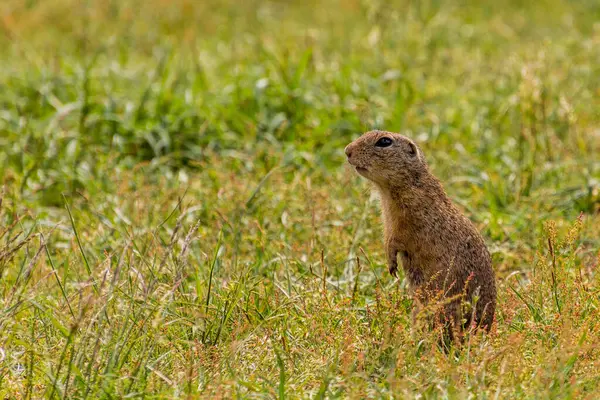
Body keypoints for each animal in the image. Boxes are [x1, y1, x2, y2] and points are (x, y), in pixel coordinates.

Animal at [344, 130, 494, 340]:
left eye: (384, 142)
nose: (347, 151)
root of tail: (485, 330)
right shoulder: (388, 223)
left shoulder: (407, 222)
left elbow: (396, 241)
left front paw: (392, 265)